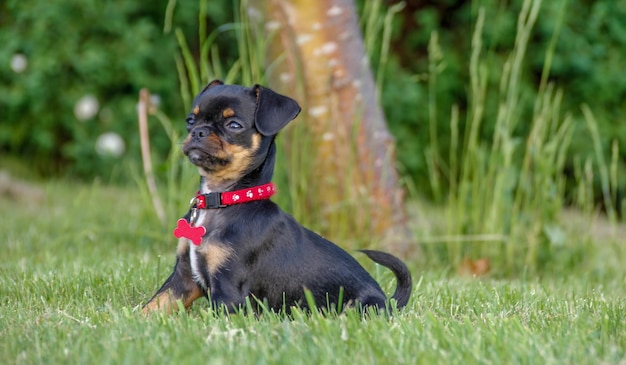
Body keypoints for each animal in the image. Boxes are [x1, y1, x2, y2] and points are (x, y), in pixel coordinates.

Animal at [144, 81, 412, 314]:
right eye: (190, 121)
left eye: (234, 125)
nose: (199, 131)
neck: (223, 198)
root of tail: (389, 304)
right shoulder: (183, 279)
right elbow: (153, 305)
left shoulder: (228, 291)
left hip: (360, 307)